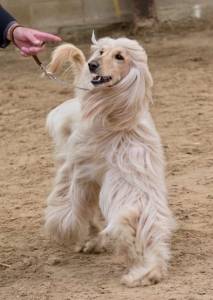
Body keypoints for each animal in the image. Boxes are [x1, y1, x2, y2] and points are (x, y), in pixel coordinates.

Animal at [44, 34, 175, 288]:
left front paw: (67, 229)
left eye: (120, 56)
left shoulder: (84, 169)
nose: (92, 65)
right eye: (102, 51)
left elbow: (72, 202)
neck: (114, 113)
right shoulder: (85, 172)